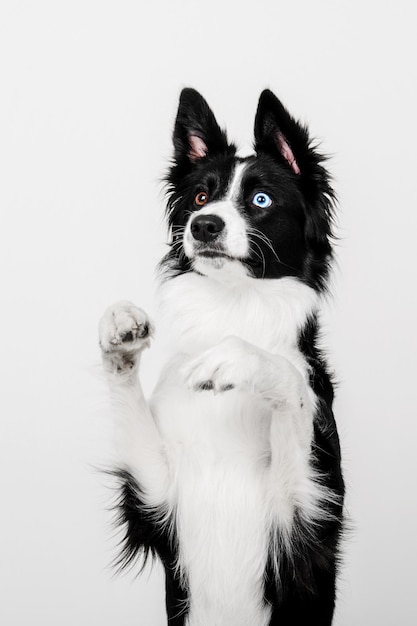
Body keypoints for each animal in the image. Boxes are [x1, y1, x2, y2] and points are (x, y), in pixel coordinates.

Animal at [99, 89, 342, 624]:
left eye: (260, 200)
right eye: (199, 198)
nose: (203, 225)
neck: (235, 304)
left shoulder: (302, 513)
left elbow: (288, 382)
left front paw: (234, 359)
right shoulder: (156, 497)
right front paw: (119, 329)